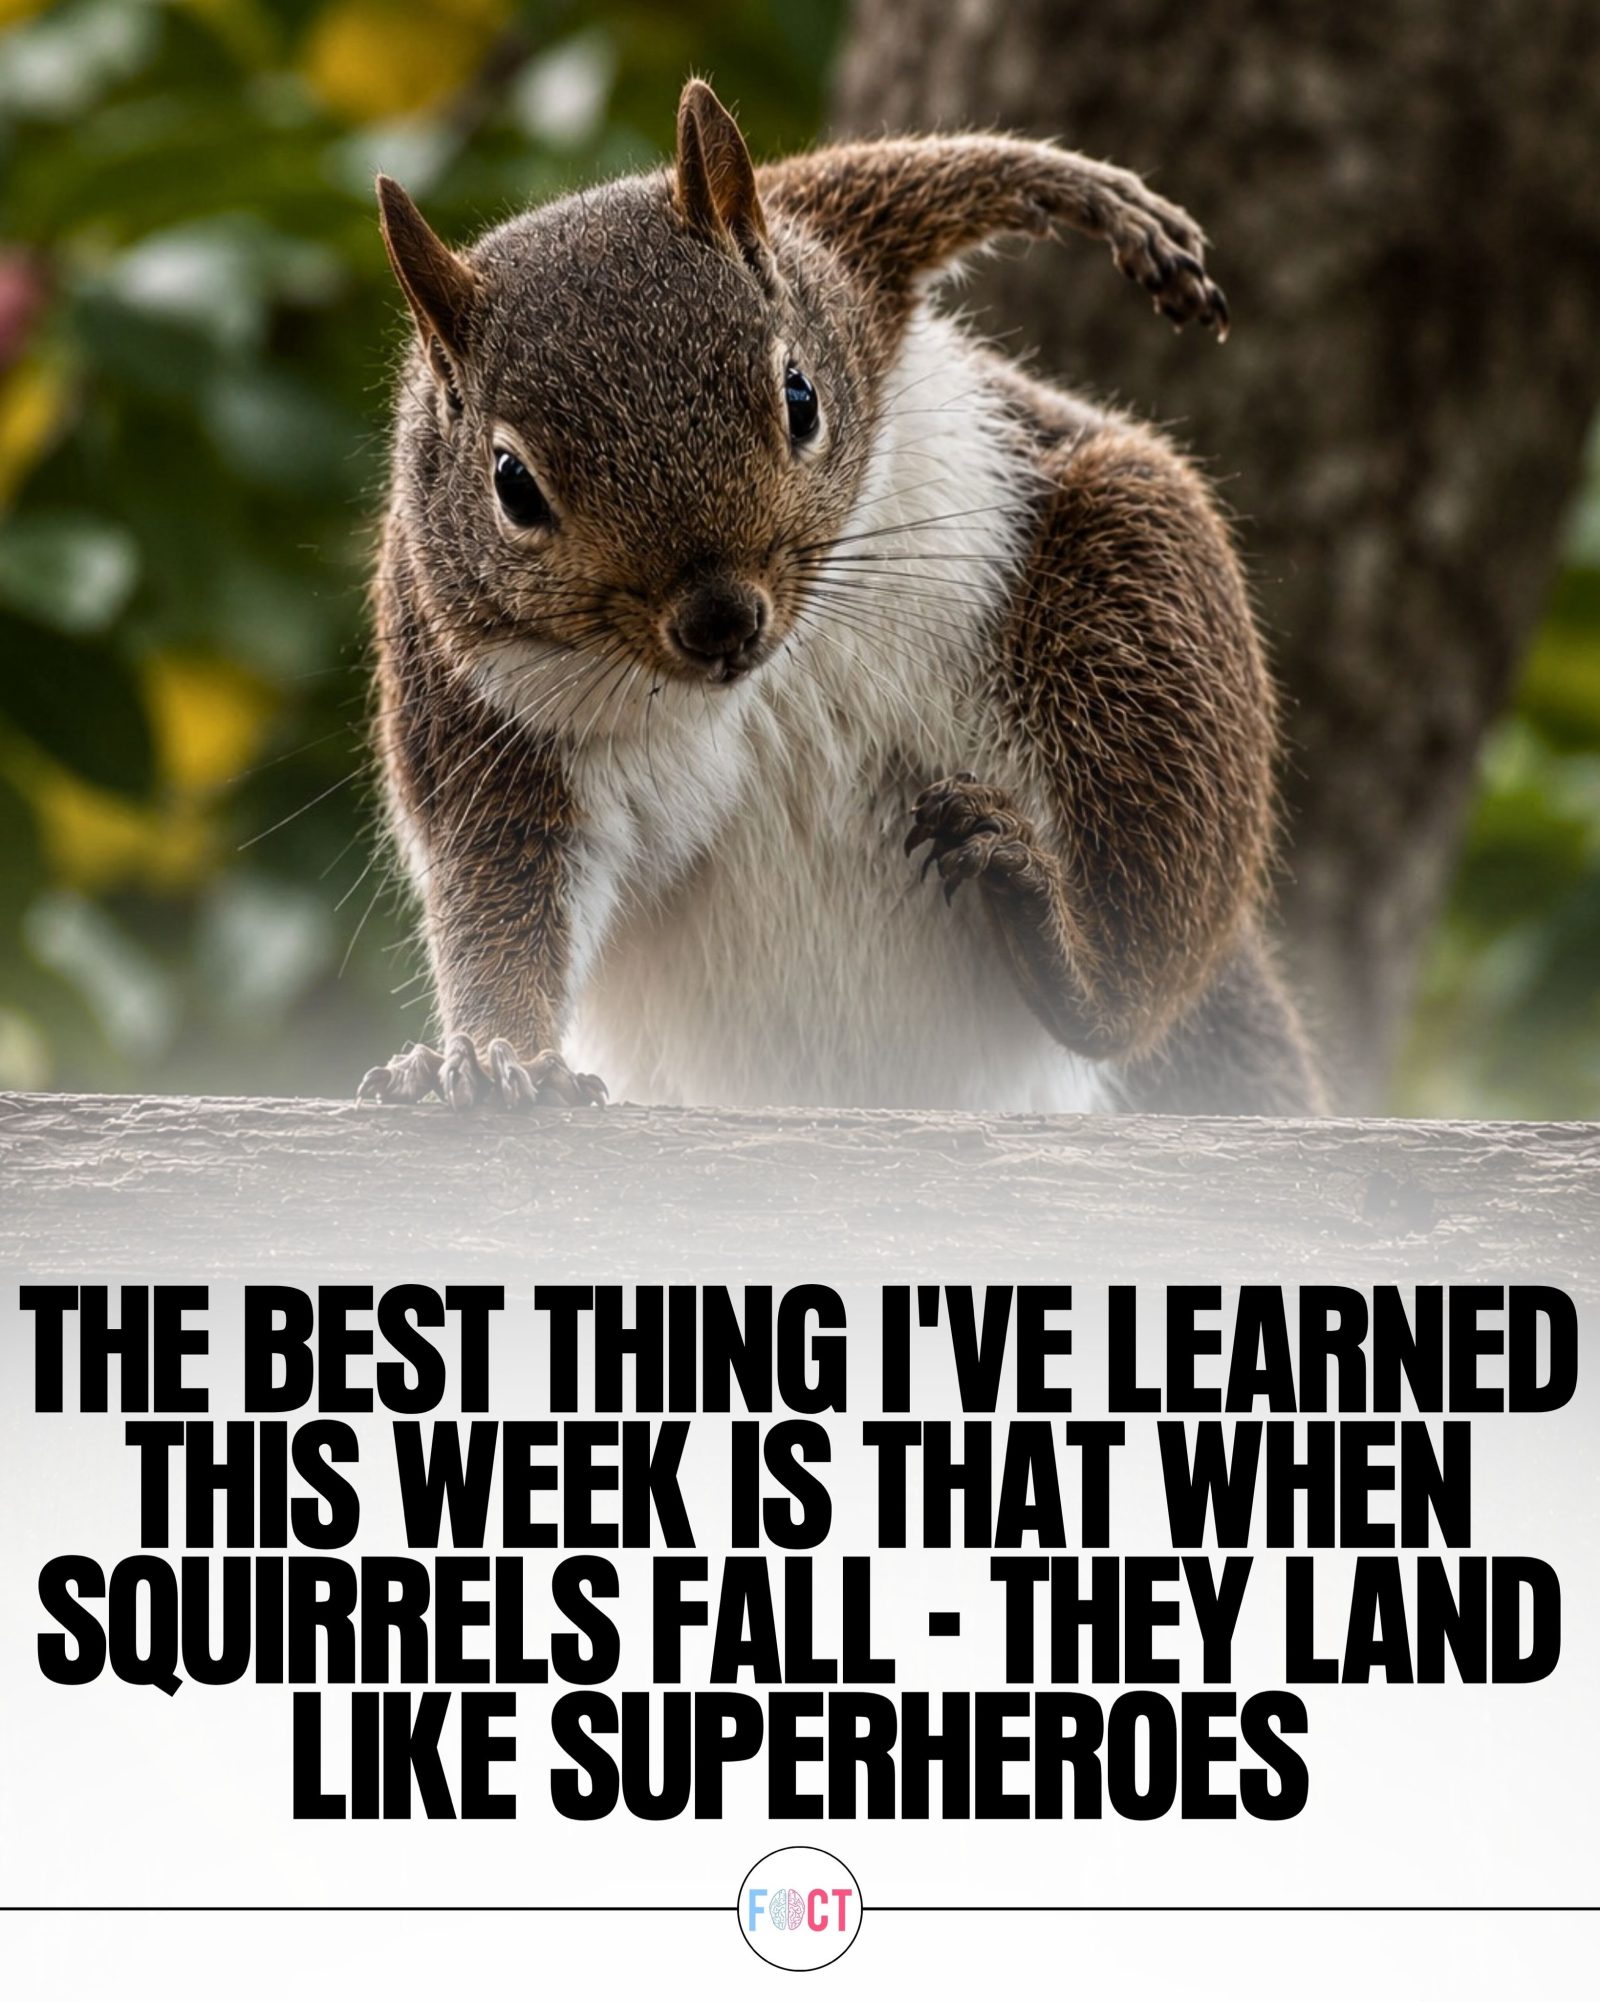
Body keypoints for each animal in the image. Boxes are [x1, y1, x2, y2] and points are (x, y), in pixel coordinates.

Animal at [358, 80, 1323, 1118]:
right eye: (513, 486)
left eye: (800, 396)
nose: (721, 622)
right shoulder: (472, 707)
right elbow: (500, 887)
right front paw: (495, 1055)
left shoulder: (833, 248)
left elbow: (912, 182)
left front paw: (1095, 200)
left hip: (1136, 570)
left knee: (1143, 938)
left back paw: (1060, 948)